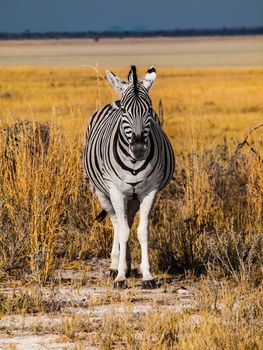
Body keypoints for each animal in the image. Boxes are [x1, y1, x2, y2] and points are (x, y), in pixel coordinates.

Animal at [84, 66, 175, 290]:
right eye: (125, 111)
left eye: (149, 109)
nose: (139, 149)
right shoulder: (116, 191)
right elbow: (123, 231)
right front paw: (120, 277)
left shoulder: (149, 192)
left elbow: (142, 231)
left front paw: (147, 276)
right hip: (103, 193)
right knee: (117, 222)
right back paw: (115, 265)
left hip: (132, 197)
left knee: (128, 219)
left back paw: (128, 264)